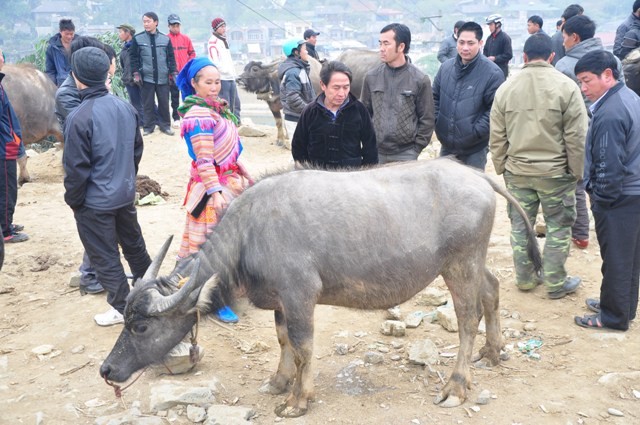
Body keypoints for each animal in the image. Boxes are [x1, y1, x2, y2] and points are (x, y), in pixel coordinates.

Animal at [99, 158, 540, 418]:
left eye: (141, 326)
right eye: (127, 318)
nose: (107, 369)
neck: (249, 234)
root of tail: (477, 175)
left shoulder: (299, 296)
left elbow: (303, 347)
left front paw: (298, 399)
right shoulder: (280, 300)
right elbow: (283, 341)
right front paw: (278, 382)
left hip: (459, 264)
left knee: (467, 318)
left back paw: (457, 385)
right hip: (472, 262)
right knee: (492, 289)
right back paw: (493, 352)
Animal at [239, 50, 380, 144]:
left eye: (255, 69)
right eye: (245, 68)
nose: (238, 79)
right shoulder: (272, 104)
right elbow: (279, 122)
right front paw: (280, 140)